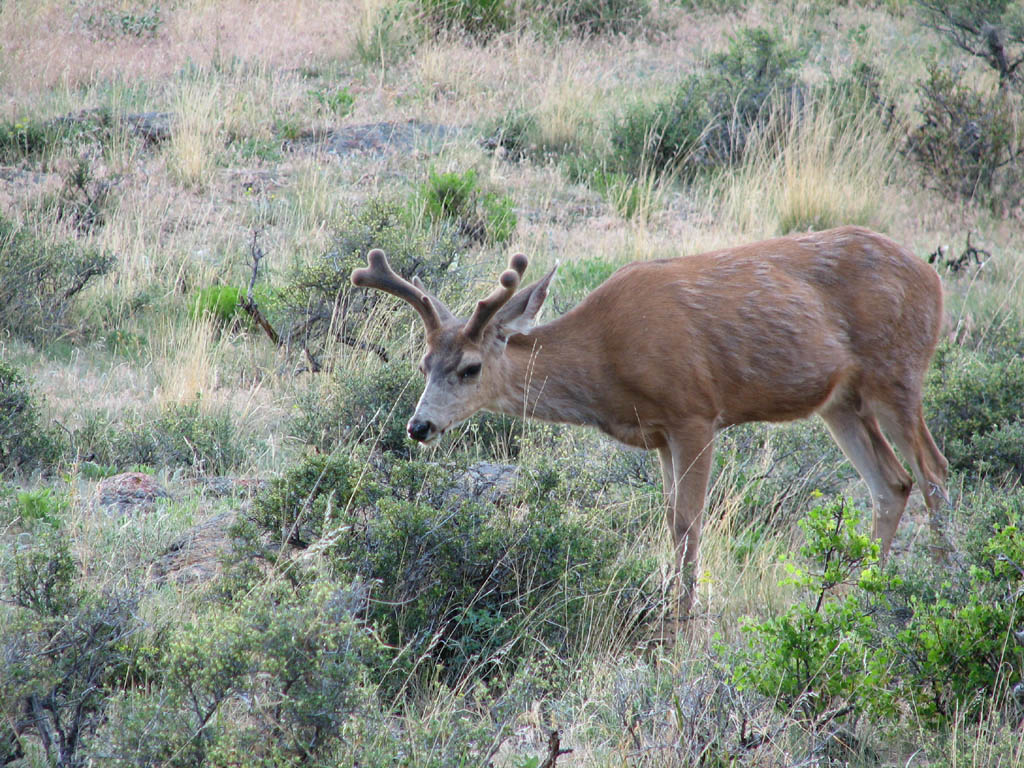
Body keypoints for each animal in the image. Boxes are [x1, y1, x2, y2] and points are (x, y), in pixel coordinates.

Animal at [354, 225, 950, 626]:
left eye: (470, 367)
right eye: (423, 363)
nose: (419, 426)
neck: (605, 360)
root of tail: (933, 276)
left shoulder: (695, 412)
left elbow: (689, 523)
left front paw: (682, 622)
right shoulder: (659, 434)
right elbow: (669, 521)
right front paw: (668, 606)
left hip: (897, 370)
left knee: (933, 470)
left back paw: (945, 585)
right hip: (840, 401)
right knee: (892, 483)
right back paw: (859, 598)